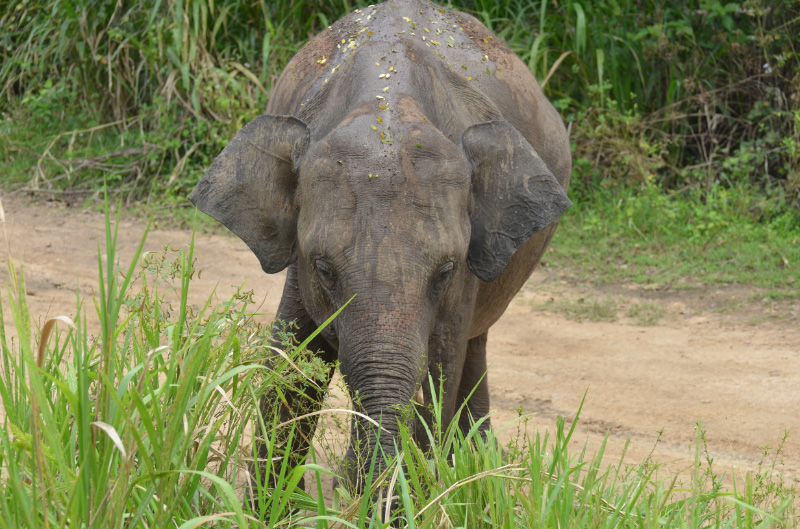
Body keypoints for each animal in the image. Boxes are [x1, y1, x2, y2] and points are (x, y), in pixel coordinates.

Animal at [189, 0, 571, 490]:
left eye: (445, 270)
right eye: (324, 269)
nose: (348, 480)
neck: (387, 104)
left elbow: (438, 373)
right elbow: (291, 368)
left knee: (472, 347)